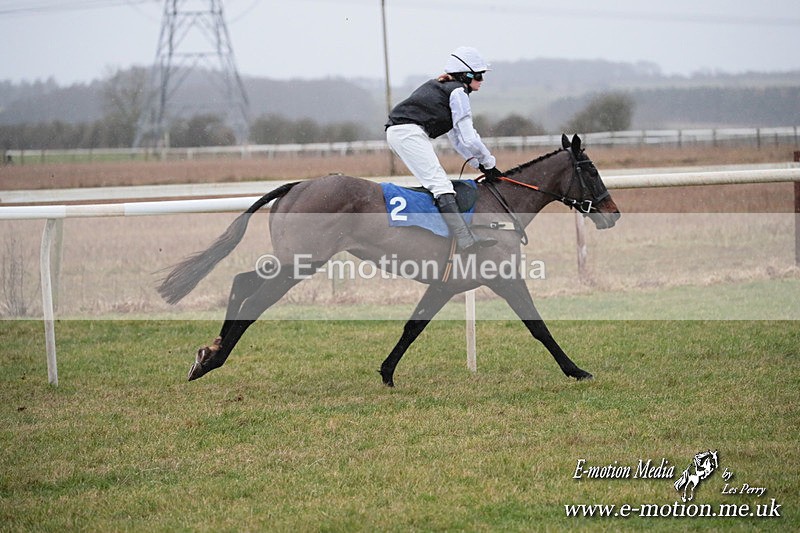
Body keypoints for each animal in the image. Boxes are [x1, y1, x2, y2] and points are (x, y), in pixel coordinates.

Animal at [157, 134, 620, 385]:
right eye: (592, 170)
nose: (612, 212)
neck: (501, 206)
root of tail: (296, 185)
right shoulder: (503, 276)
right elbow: (538, 327)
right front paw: (576, 370)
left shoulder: (445, 284)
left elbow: (413, 326)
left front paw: (386, 372)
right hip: (301, 262)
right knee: (254, 299)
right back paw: (213, 358)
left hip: (292, 261)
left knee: (241, 281)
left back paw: (210, 352)